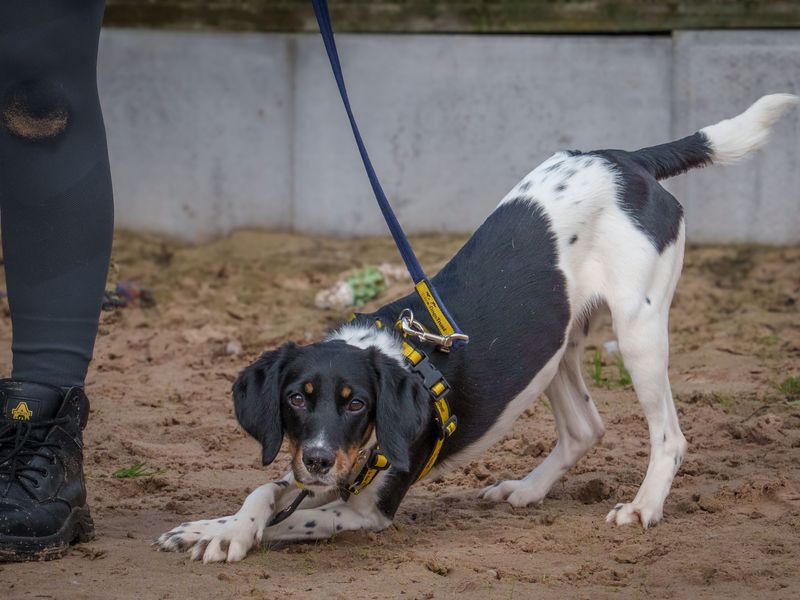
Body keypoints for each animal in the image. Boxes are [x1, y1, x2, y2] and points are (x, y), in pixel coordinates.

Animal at [155, 94, 792, 564]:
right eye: (295, 398)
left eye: (357, 403)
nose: (314, 460)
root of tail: (630, 160)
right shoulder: (315, 471)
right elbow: (265, 489)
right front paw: (214, 528)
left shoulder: (365, 511)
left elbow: (294, 514)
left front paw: (232, 533)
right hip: (554, 343)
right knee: (585, 427)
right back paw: (528, 490)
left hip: (637, 330)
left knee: (669, 437)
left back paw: (643, 507)